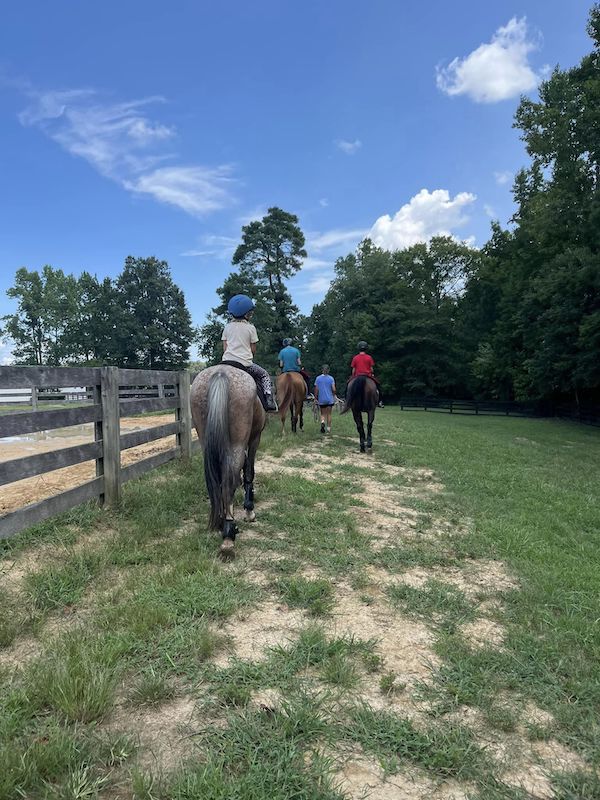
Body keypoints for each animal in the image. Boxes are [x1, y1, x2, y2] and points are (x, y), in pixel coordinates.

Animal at [191, 364, 266, 556]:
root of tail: (220, 374)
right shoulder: (255, 438)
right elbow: (249, 472)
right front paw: (249, 511)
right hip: (237, 444)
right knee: (228, 483)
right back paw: (228, 535)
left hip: (206, 441)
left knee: (217, 481)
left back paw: (220, 522)